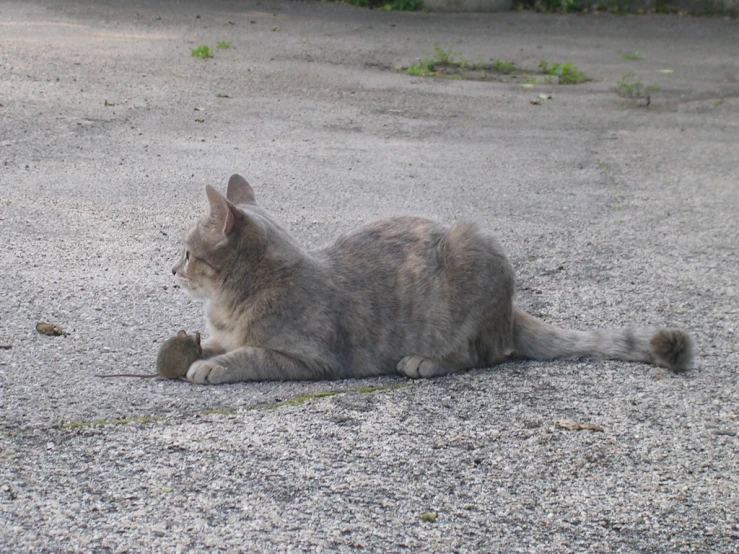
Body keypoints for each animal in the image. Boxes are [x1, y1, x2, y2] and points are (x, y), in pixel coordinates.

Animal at [172, 175, 692, 382]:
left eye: (187, 251)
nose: (172, 269)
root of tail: (511, 309)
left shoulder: (312, 359)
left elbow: (252, 355)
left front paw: (215, 365)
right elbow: (216, 343)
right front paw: (192, 349)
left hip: (472, 247)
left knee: (482, 356)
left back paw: (424, 361)